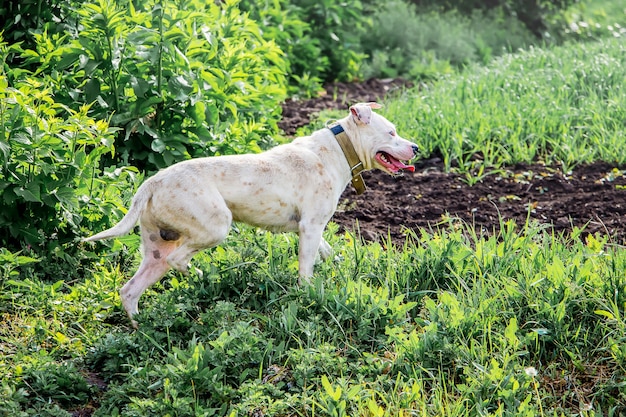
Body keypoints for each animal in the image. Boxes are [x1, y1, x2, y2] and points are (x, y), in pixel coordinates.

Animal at [83, 102, 414, 326]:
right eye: (391, 132)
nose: (416, 147)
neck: (338, 148)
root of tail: (152, 182)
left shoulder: (313, 228)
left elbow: (329, 252)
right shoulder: (310, 228)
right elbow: (306, 269)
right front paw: (308, 296)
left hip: (155, 251)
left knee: (130, 290)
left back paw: (141, 328)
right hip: (215, 226)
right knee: (179, 259)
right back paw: (204, 277)